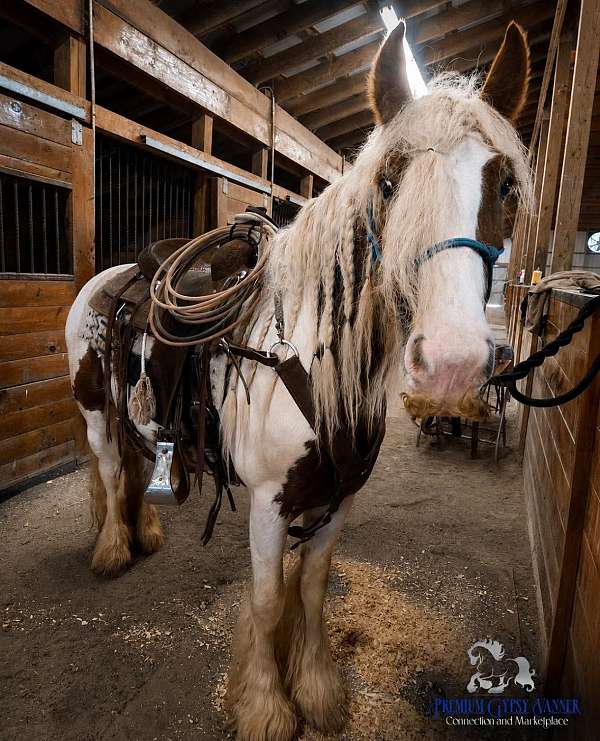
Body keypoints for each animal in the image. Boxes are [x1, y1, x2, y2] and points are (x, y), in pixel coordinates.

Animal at [66, 20, 532, 741]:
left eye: (505, 182)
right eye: (387, 183)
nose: (451, 362)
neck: (312, 362)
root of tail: (112, 277)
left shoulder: (336, 500)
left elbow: (309, 589)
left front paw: (315, 689)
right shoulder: (266, 502)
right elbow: (265, 598)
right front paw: (265, 705)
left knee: (136, 467)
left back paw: (143, 533)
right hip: (93, 411)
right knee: (112, 470)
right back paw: (115, 547)